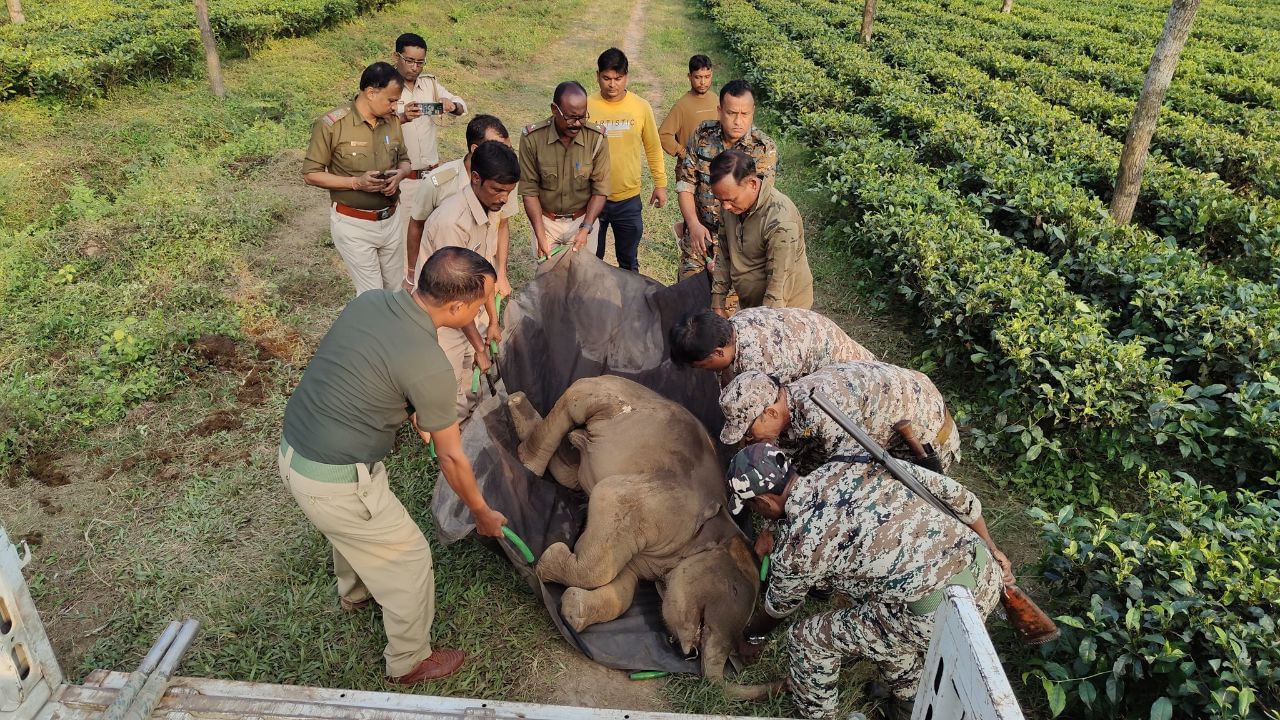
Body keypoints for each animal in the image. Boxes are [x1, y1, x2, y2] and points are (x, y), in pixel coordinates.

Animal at [504, 371, 752, 676]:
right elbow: (610, 499)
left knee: (573, 469)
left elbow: (625, 586)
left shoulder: (651, 556)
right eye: (733, 589)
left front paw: (573, 610)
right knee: (574, 407)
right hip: (604, 396)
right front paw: (550, 560)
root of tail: (605, 375)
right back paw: (528, 456)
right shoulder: (666, 510)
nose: (692, 654)